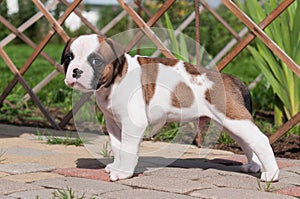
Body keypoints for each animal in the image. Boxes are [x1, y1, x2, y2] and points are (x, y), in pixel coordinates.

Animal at [61, 34, 278, 182]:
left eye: (96, 61)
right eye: (69, 58)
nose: (76, 71)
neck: (116, 78)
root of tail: (230, 78)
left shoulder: (133, 124)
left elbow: (128, 149)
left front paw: (123, 173)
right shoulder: (114, 123)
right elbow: (118, 146)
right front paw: (116, 166)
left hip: (235, 120)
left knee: (260, 140)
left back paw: (271, 173)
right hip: (231, 122)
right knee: (248, 142)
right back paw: (252, 166)